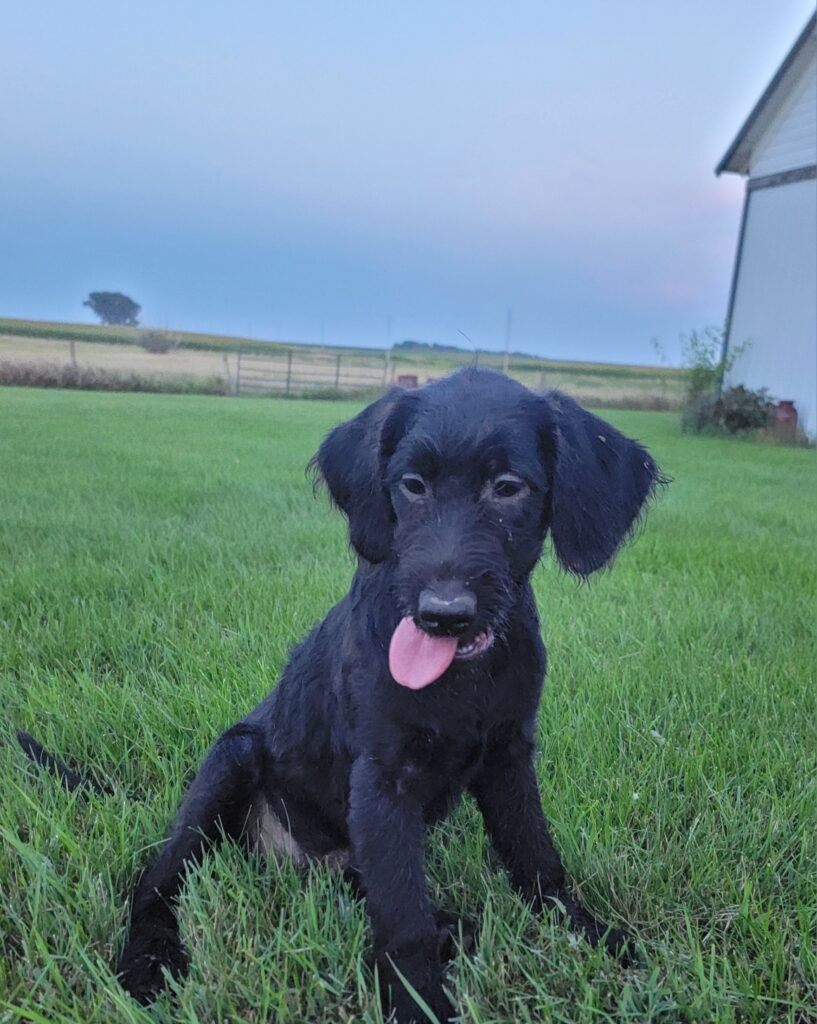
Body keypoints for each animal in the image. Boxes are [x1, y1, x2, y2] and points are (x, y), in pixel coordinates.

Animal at [24, 372, 659, 1019]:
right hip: (232, 760)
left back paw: (458, 926)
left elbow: (536, 858)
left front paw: (588, 932)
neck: (462, 678)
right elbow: (403, 920)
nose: (442, 615)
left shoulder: (509, 757)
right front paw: (419, 1002)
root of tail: (288, 859)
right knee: (157, 879)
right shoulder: (383, 779)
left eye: (508, 488)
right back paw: (148, 960)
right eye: (412, 485)